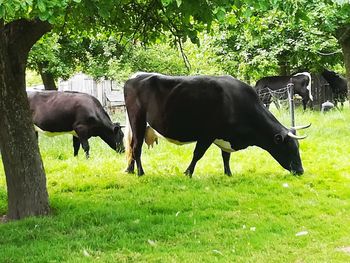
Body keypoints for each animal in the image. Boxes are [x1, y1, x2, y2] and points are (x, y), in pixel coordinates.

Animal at [123, 72, 308, 177]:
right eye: (290, 147)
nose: (300, 171)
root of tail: (134, 78)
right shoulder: (207, 134)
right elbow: (197, 154)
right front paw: (188, 173)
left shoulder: (225, 136)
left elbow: (226, 156)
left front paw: (228, 173)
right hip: (138, 121)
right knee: (137, 147)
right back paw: (140, 173)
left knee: (132, 146)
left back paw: (130, 170)